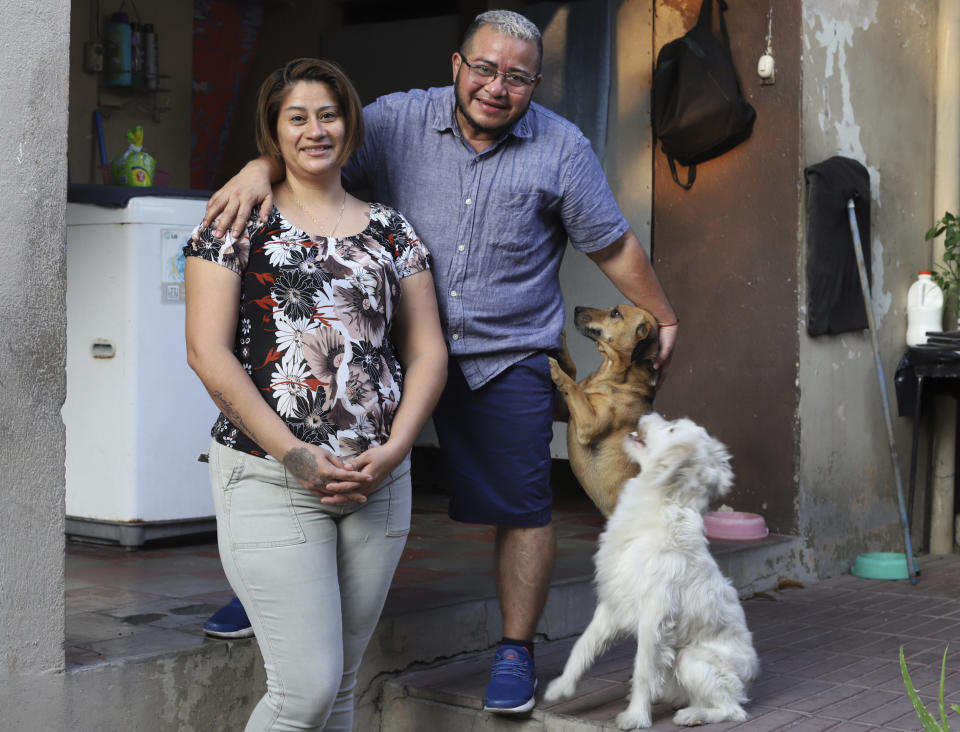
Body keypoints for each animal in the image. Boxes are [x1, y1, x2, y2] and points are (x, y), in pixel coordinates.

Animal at [548, 304, 660, 516]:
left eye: (616, 313)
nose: (577, 308)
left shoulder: (588, 425)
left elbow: (572, 385)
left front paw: (555, 368)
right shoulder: (564, 410)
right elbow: (572, 373)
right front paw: (562, 348)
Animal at [548, 412, 756, 728]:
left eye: (671, 430)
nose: (645, 415)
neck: (664, 501)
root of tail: (748, 678)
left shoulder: (654, 618)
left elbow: (643, 669)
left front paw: (635, 716)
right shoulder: (613, 605)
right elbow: (583, 646)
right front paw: (561, 687)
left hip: (692, 659)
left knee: (732, 710)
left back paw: (691, 715)